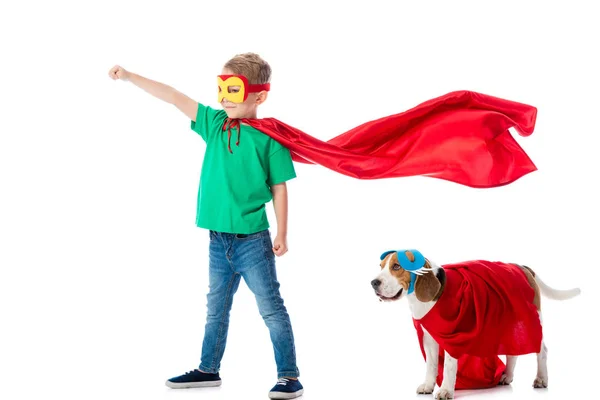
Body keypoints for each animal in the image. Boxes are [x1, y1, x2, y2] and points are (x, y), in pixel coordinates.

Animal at [372, 248, 580, 398]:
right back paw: (508, 375)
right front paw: (429, 385)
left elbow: (449, 366)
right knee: (512, 352)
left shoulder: (453, 337)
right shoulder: (429, 339)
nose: (373, 282)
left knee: (542, 351)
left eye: (397, 266)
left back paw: (541, 379)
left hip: (531, 319)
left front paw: (445, 390)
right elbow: (431, 365)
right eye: (381, 265)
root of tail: (522, 267)